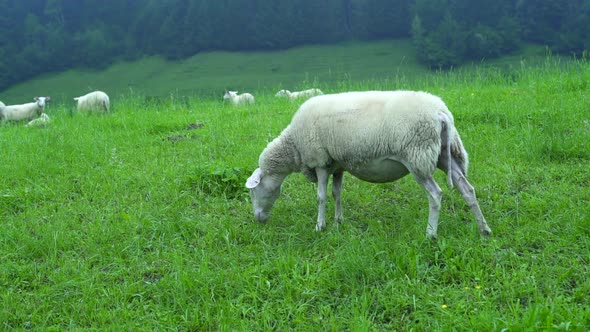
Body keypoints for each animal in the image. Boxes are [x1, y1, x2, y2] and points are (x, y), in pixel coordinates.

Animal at [245, 90, 494, 239]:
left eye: (253, 191)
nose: (258, 219)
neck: (293, 146)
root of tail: (441, 113)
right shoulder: (337, 165)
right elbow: (336, 193)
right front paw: (338, 221)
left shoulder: (321, 161)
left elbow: (321, 196)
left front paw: (320, 225)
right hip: (445, 154)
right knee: (468, 190)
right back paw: (484, 230)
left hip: (417, 157)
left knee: (435, 194)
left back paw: (430, 233)